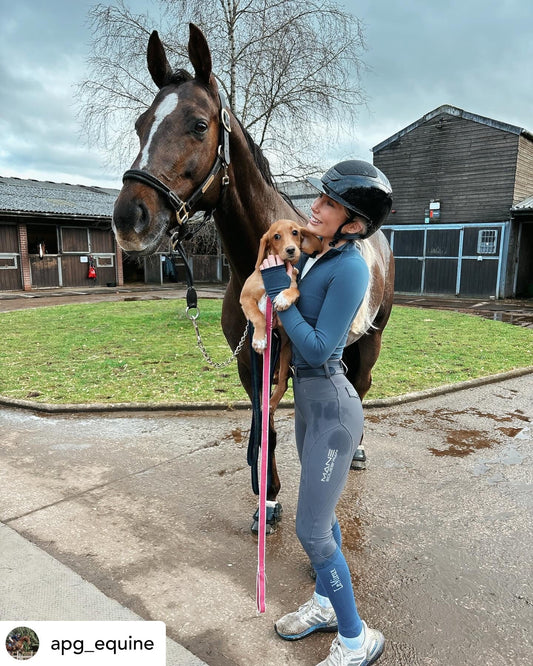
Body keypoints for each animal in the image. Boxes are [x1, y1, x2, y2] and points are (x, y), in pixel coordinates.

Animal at [112, 23, 395, 530]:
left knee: (360, 388)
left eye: (199, 124)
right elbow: (262, 429)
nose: (129, 219)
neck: (256, 270)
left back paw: (357, 451)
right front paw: (268, 500)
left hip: (373, 337)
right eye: (141, 125)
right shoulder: (250, 361)